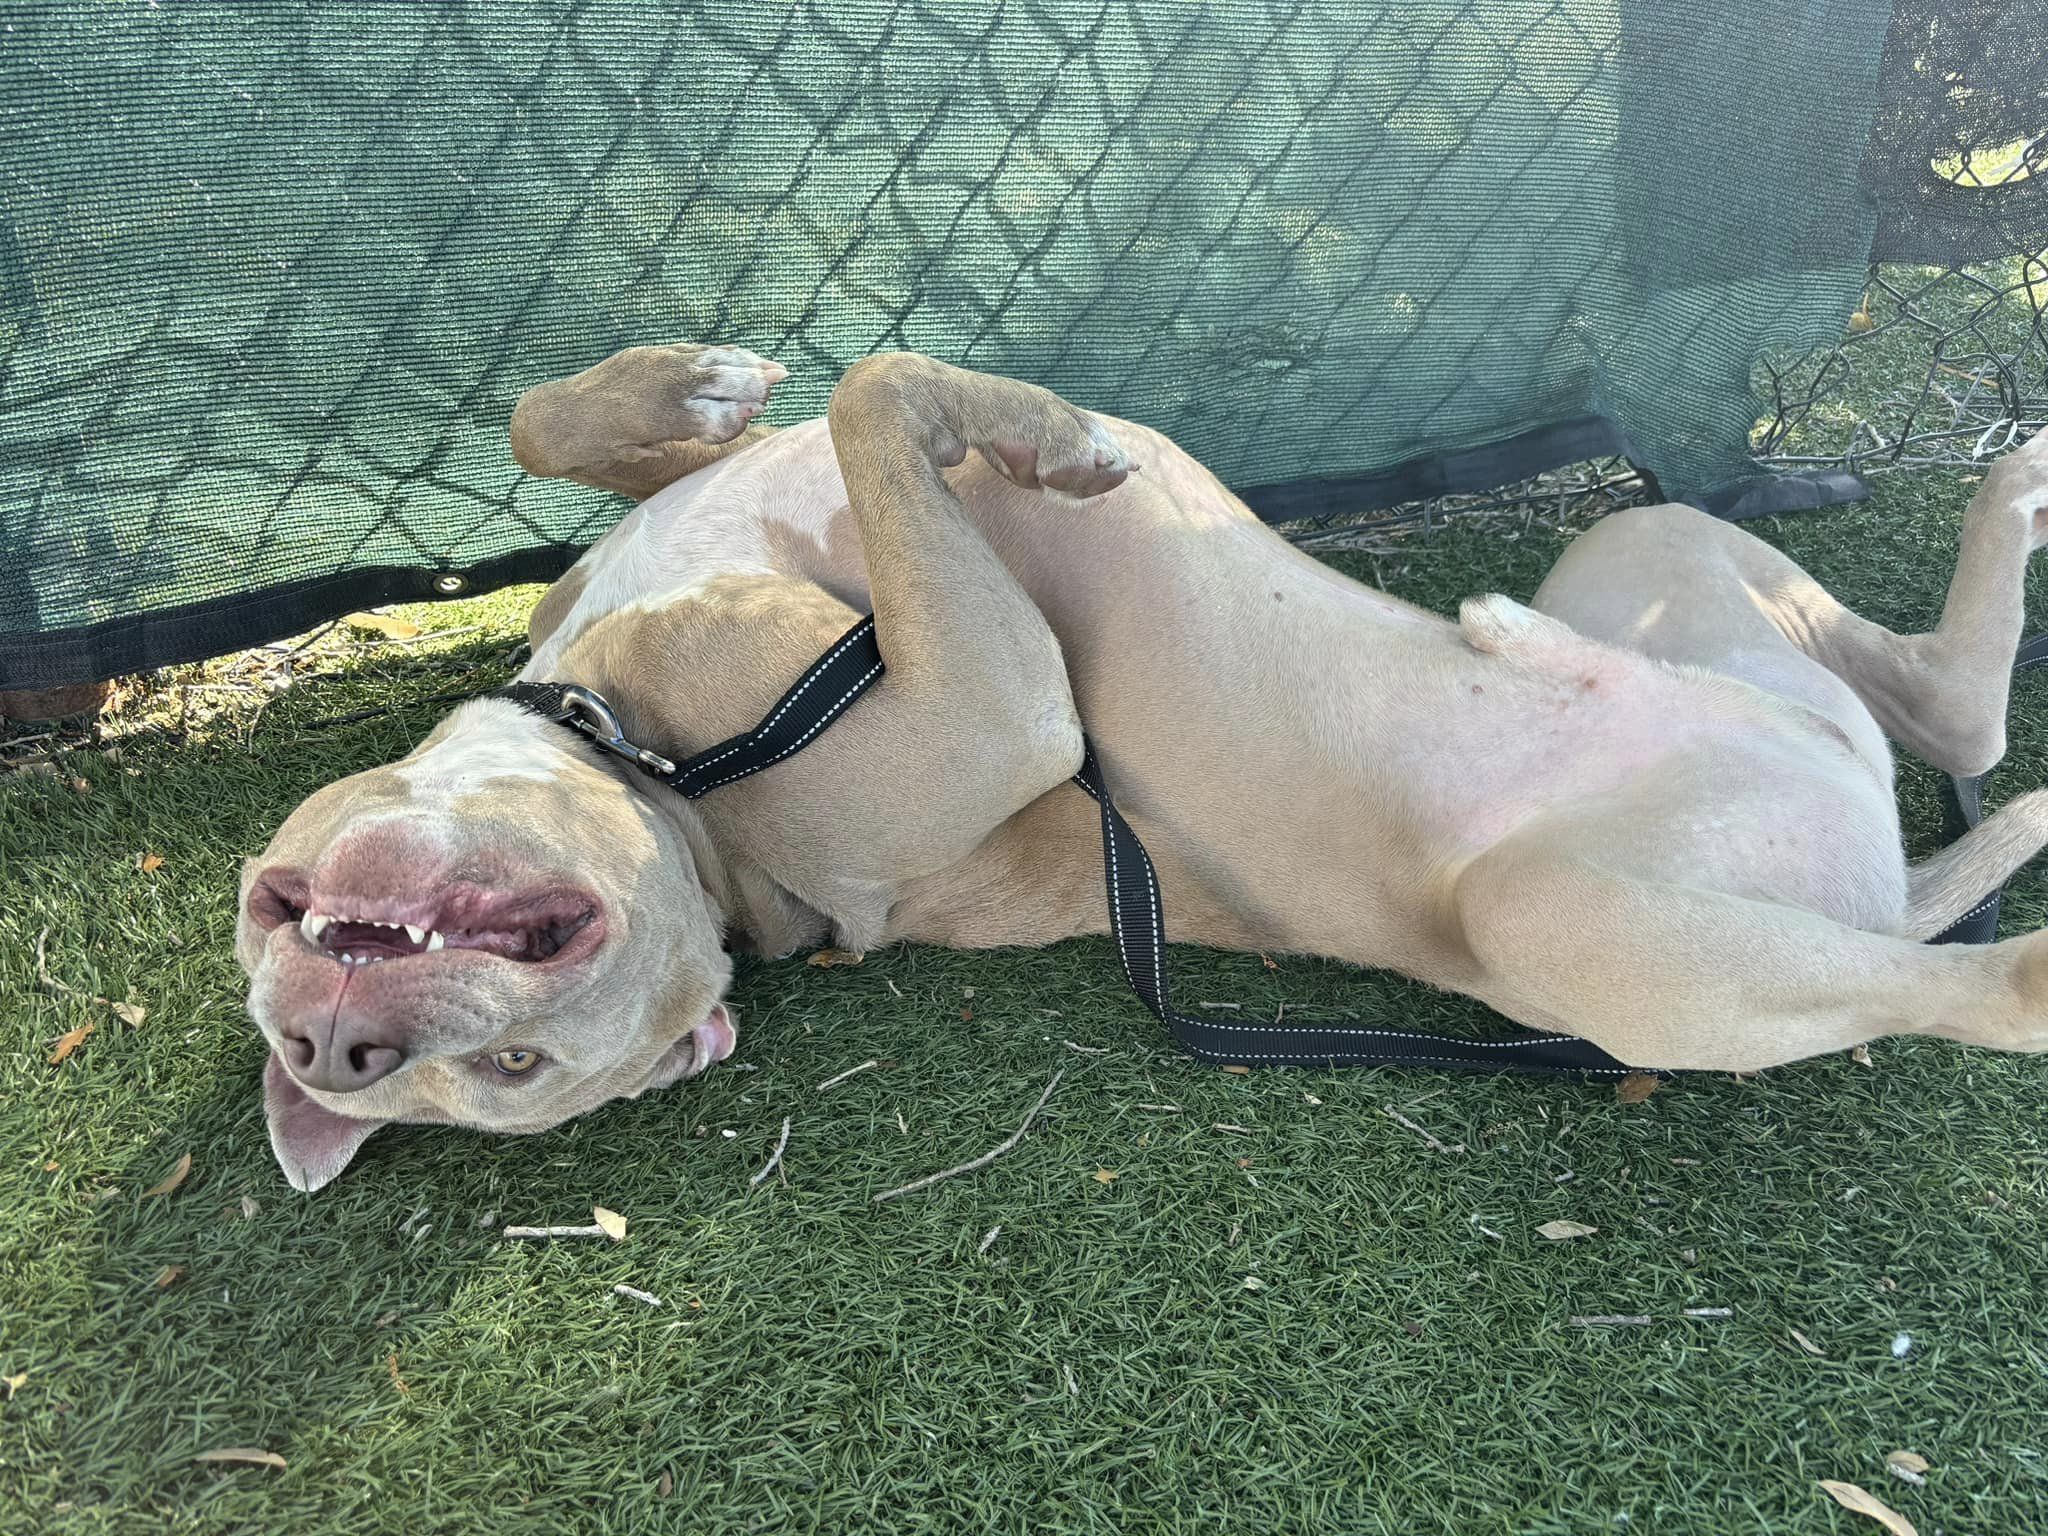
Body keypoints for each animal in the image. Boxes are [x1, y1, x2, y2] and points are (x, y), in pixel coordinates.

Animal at [243, 346, 2048, 1187]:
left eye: (269, 924)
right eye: (519, 1075)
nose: (336, 1044)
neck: (644, 770)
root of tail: (1871, 872)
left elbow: (584, 425)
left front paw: (687, 385)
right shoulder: (990, 716)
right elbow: (875, 386)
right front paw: (1036, 428)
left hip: (1649, 557)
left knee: (1945, 725)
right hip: (1569, 922)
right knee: (1970, 963)